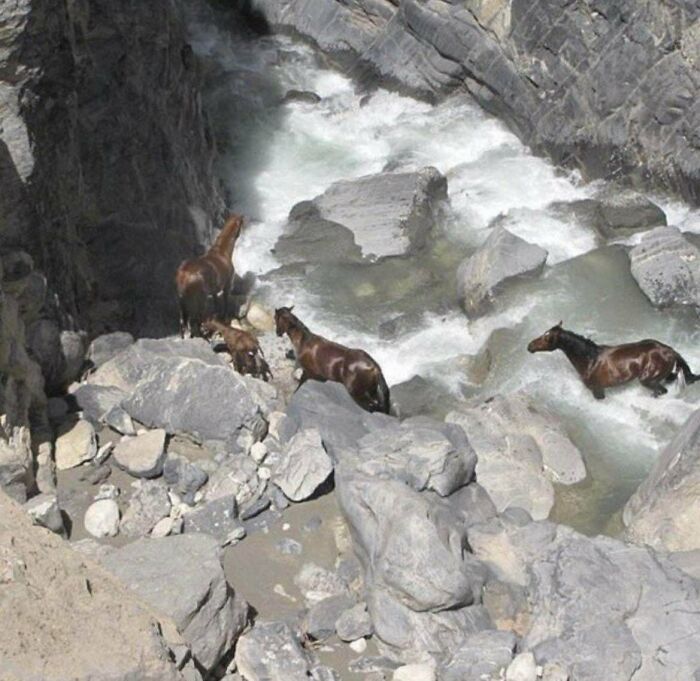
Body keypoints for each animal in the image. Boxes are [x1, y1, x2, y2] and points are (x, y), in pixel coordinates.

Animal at [527, 322, 699, 399]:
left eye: (547, 338)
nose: (530, 346)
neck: (589, 360)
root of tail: (670, 351)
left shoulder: (597, 390)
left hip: (648, 379)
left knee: (661, 390)